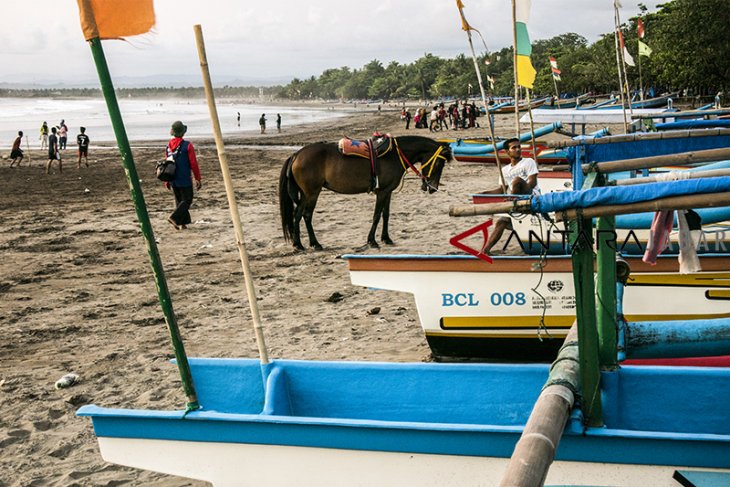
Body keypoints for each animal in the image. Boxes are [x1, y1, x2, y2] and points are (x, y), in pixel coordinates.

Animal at [278, 136, 450, 252]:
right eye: (439, 164)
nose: (433, 188)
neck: (395, 154)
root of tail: (297, 154)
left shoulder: (388, 192)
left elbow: (386, 215)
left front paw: (386, 238)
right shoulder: (382, 192)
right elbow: (376, 216)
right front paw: (372, 241)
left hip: (305, 194)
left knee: (298, 215)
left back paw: (300, 243)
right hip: (311, 193)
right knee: (305, 215)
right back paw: (310, 243)